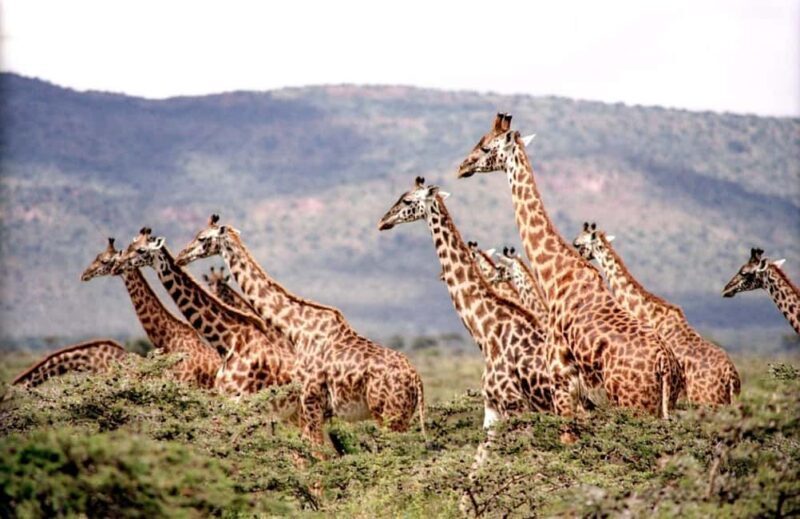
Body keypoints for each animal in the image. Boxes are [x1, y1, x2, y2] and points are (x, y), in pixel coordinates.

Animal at [112, 229, 298, 418]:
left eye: (141, 250)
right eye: (128, 246)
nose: (116, 265)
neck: (228, 342)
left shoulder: (241, 399)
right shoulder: (223, 398)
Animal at [174, 215, 425, 446]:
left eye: (202, 238)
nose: (180, 256)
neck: (297, 328)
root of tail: (417, 381)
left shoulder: (310, 400)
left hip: (388, 414)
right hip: (400, 416)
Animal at [457, 113, 683, 418]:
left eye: (485, 147)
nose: (462, 167)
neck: (556, 274)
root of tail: (665, 365)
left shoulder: (561, 379)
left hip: (633, 403)